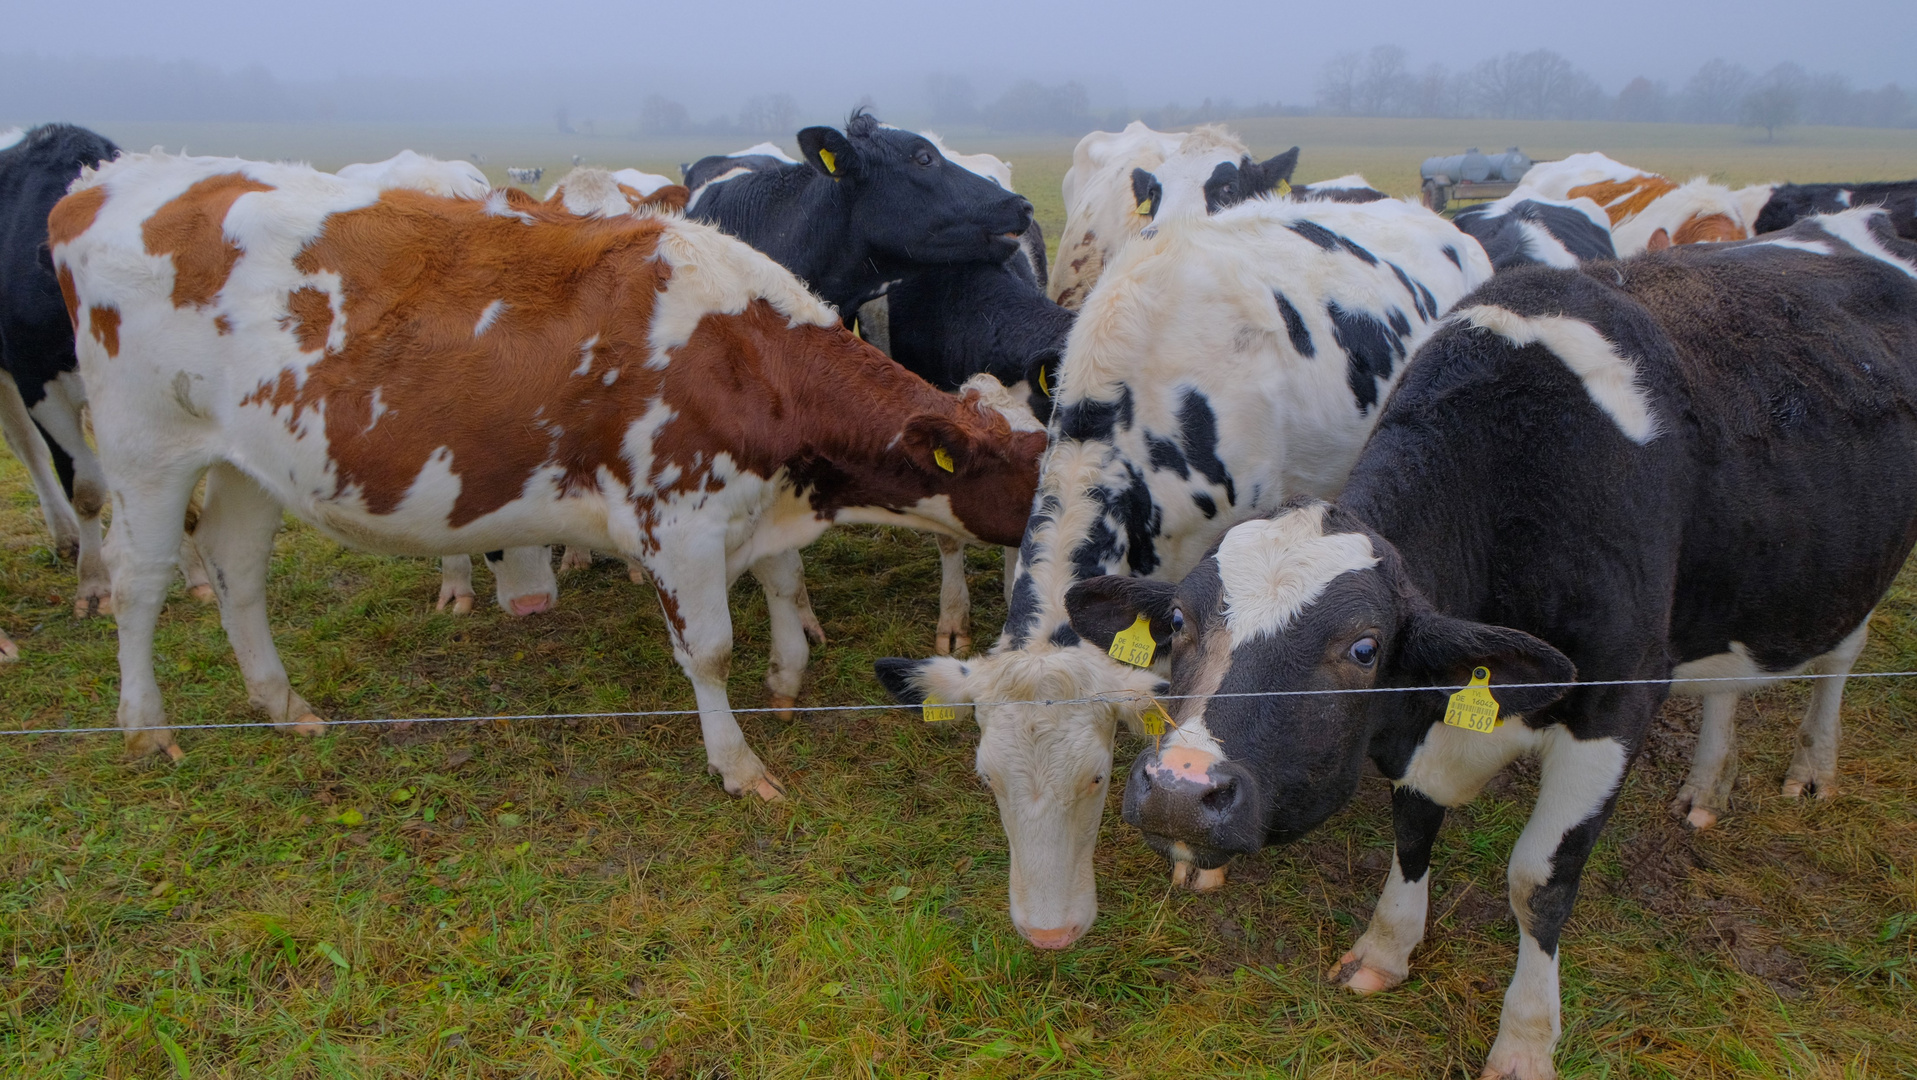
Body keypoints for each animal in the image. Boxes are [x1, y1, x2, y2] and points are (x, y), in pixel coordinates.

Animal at [52, 149, 1042, 801]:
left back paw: (281, 701)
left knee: (236, 567)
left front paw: (788, 681)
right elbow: (709, 650)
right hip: (145, 447)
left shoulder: (753, 496)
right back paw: (146, 728)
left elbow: (784, 583)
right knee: (142, 581)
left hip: (252, 461)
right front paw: (737, 764)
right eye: (1032, 480)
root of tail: (103, 182)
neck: (745, 349)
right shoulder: (676, 519)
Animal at [1065, 205, 1917, 1080]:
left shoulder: (1616, 703)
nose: (1178, 787)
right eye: (1177, 623)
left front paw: (1525, 1039)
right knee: (1725, 686)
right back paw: (1707, 786)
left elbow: (1536, 881)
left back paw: (1812, 766)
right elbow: (1412, 826)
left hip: (1858, 567)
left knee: (1838, 661)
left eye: (1363, 649)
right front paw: (1387, 947)